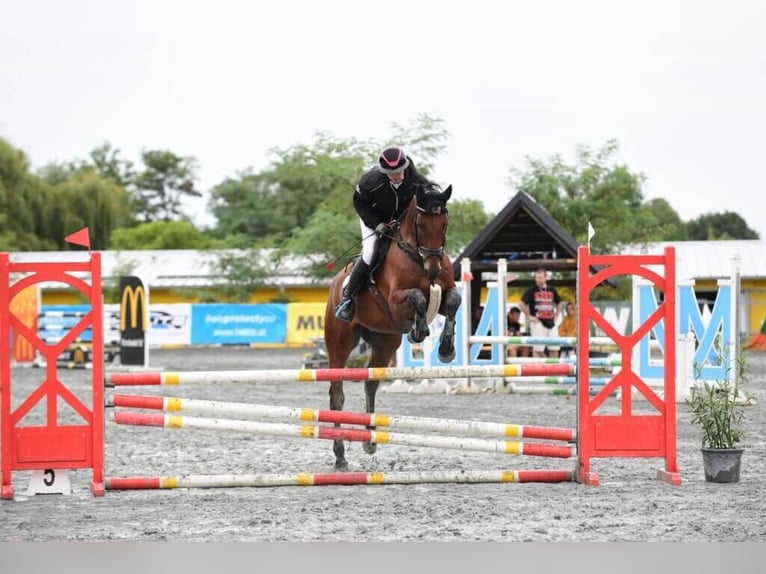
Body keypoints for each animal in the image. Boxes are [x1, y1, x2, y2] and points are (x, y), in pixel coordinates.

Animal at [324, 182, 462, 470]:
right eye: (420, 224)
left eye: (444, 223)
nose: (433, 269)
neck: (417, 255)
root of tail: (335, 284)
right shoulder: (396, 300)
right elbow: (418, 297)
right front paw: (419, 332)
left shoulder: (446, 294)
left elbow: (454, 301)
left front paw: (446, 349)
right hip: (339, 343)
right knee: (337, 393)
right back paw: (340, 455)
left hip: (384, 342)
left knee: (370, 385)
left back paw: (370, 442)